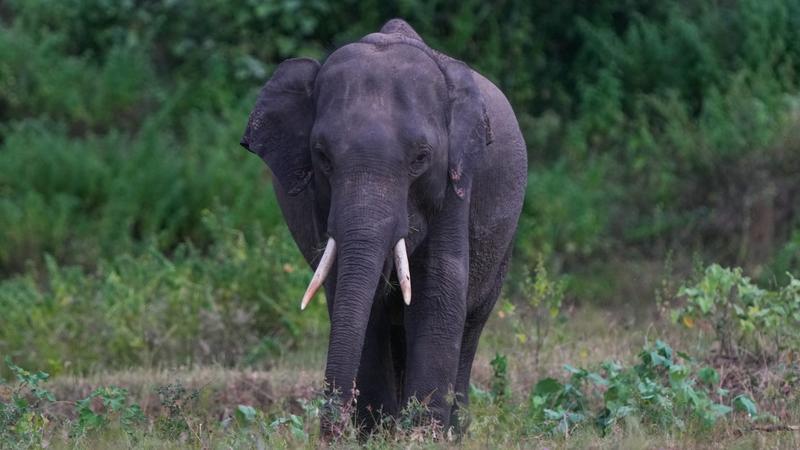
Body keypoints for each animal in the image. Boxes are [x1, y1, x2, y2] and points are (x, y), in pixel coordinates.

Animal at [241, 19, 528, 438]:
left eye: (421, 158)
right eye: (322, 156)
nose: (328, 434)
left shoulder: (456, 182)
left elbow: (437, 290)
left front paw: (421, 437)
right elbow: (359, 298)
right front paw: (377, 435)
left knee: (472, 322)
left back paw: (453, 431)